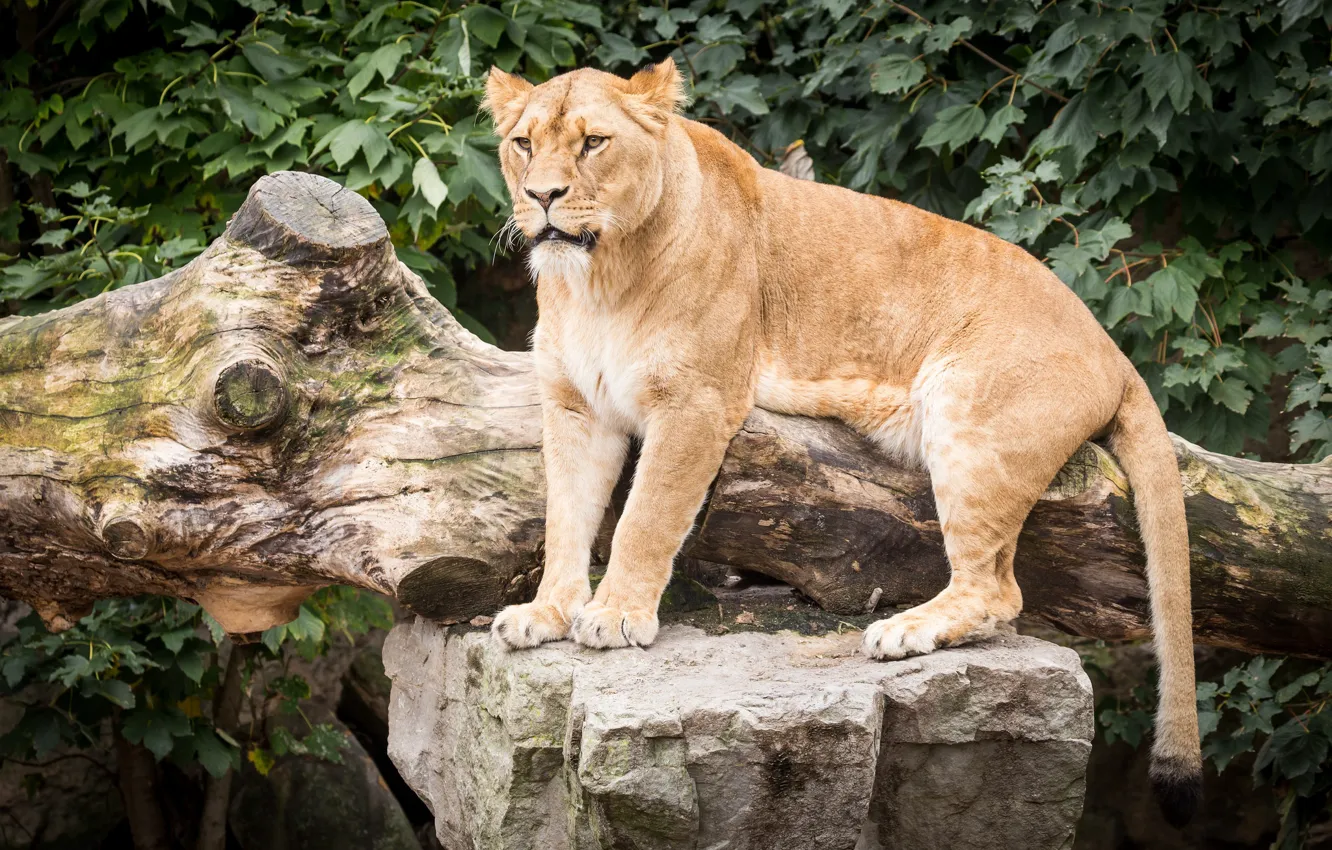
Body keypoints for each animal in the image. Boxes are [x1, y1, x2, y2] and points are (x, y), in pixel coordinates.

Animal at [481, 58, 1201, 825]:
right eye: (524, 144)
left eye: (593, 144)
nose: (543, 196)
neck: (598, 281)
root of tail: (1111, 346)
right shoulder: (575, 408)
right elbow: (566, 518)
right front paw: (548, 613)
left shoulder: (697, 402)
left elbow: (645, 518)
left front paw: (615, 616)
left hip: (966, 409)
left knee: (997, 591)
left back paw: (906, 631)